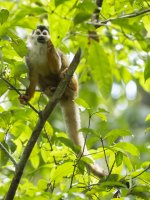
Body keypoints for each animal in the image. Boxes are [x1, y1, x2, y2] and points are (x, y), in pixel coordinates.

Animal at [19, 25, 106, 178]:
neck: (39, 49)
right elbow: (34, 77)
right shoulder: (28, 56)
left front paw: (50, 46)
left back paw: (69, 82)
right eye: (39, 33)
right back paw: (51, 90)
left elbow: (57, 66)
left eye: (45, 33)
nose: (42, 37)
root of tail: (67, 97)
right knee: (42, 79)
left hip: (74, 87)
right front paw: (27, 97)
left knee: (64, 69)